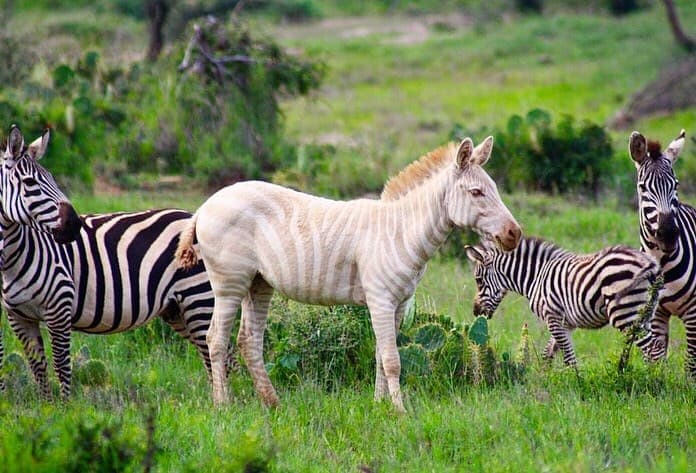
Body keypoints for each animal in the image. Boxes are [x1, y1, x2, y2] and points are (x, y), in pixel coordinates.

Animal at [177, 136, 520, 410]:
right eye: (476, 192)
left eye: (494, 189)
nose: (515, 234)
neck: (401, 232)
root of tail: (207, 204)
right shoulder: (380, 298)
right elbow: (393, 361)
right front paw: (401, 412)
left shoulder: (400, 303)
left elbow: (381, 357)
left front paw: (380, 405)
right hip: (229, 282)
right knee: (216, 338)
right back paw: (223, 405)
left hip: (258, 283)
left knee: (248, 340)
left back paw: (272, 402)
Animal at [464, 236, 660, 366]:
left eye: (478, 281)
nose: (475, 312)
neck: (536, 276)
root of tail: (649, 262)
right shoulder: (565, 323)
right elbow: (548, 353)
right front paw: (545, 379)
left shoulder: (552, 316)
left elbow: (568, 358)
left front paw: (577, 385)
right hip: (645, 312)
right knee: (656, 348)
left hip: (625, 314)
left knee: (652, 349)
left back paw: (654, 381)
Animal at [628, 129, 692, 376]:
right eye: (643, 188)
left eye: (676, 185)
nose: (668, 235)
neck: (662, 262)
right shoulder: (656, 314)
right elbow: (656, 357)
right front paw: (657, 381)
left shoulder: (693, 312)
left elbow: (691, 364)